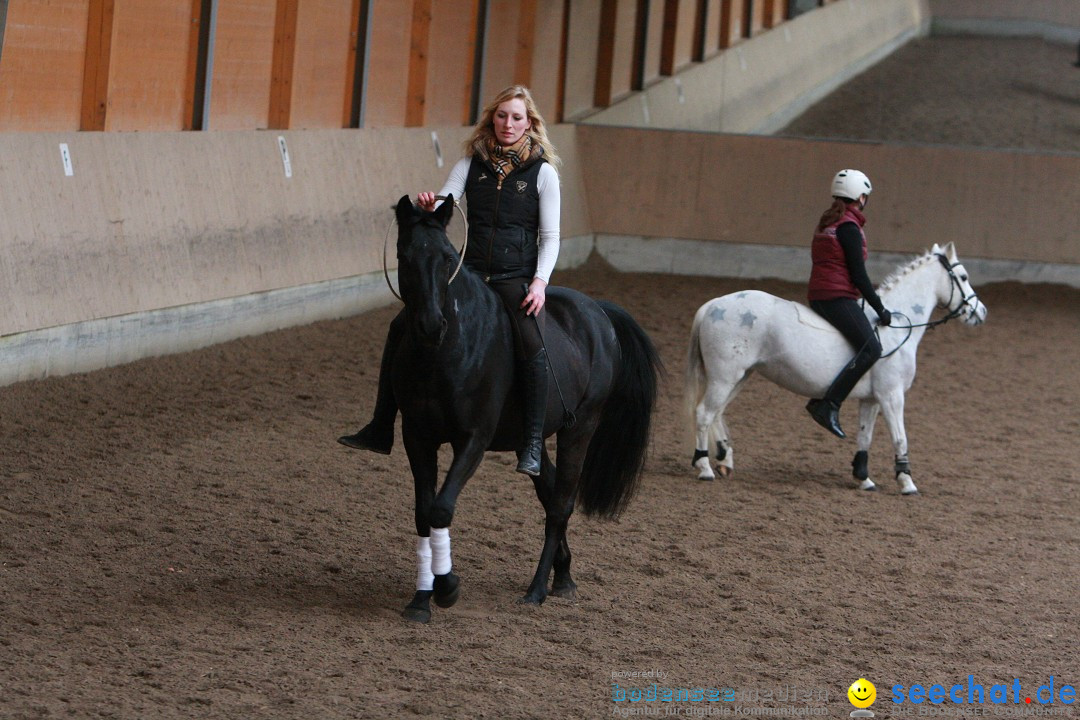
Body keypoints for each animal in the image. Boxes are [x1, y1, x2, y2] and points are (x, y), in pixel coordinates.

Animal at [388, 194, 656, 621]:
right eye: (404, 255)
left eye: (447, 258)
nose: (431, 326)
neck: (443, 354)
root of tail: (597, 310)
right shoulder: (416, 435)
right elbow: (422, 514)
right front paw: (420, 599)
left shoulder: (473, 439)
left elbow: (441, 510)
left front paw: (447, 588)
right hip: (527, 437)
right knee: (549, 493)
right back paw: (563, 576)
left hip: (580, 427)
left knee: (560, 504)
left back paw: (538, 589)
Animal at [691, 241, 989, 496]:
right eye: (963, 277)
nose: (981, 312)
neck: (897, 327)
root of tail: (712, 306)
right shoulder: (892, 396)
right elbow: (900, 439)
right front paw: (906, 482)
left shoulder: (872, 399)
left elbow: (865, 436)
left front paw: (864, 478)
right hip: (724, 377)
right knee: (704, 413)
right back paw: (704, 468)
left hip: (738, 377)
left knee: (718, 413)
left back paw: (725, 462)